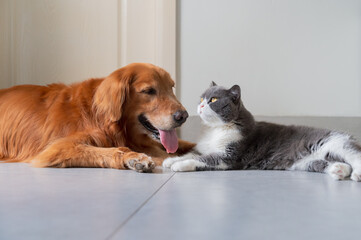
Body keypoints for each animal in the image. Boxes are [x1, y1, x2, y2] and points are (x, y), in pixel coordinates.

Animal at [0, 62, 194, 172]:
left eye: (171, 87)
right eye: (149, 91)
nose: (183, 116)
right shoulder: (58, 148)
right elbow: (108, 150)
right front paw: (134, 158)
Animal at [162, 81, 360, 181]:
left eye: (214, 100)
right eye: (202, 98)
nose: (201, 105)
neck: (215, 130)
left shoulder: (229, 156)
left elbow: (203, 159)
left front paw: (179, 165)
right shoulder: (205, 147)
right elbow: (193, 153)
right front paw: (170, 160)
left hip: (337, 143)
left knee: (355, 156)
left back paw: (356, 174)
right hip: (305, 163)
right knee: (330, 164)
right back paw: (339, 170)